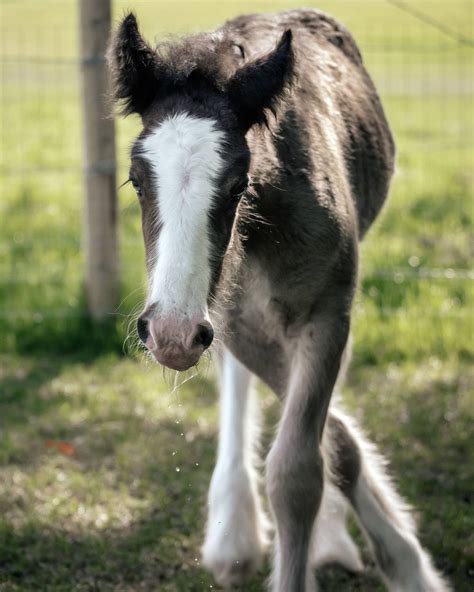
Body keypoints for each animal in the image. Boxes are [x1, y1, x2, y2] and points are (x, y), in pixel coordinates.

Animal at [107, 9, 452, 592]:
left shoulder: (325, 311)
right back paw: (236, 533)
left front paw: (407, 563)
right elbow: (327, 442)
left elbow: (302, 468)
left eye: (237, 183)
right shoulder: (236, 325)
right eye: (135, 180)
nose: (170, 335)